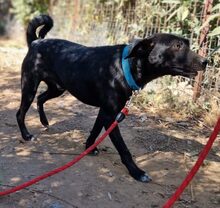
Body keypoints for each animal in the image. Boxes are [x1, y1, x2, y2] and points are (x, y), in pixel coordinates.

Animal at [16, 15, 206, 183]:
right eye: (177, 45)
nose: (206, 61)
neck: (125, 66)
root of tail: (36, 42)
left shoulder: (105, 112)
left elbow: (94, 131)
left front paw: (89, 148)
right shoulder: (110, 116)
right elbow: (124, 149)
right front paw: (137, 172)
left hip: (57, 88)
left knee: (41, 98)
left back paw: (44, 121)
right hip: (30, 86)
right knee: (21, 113)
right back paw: (26, 135)